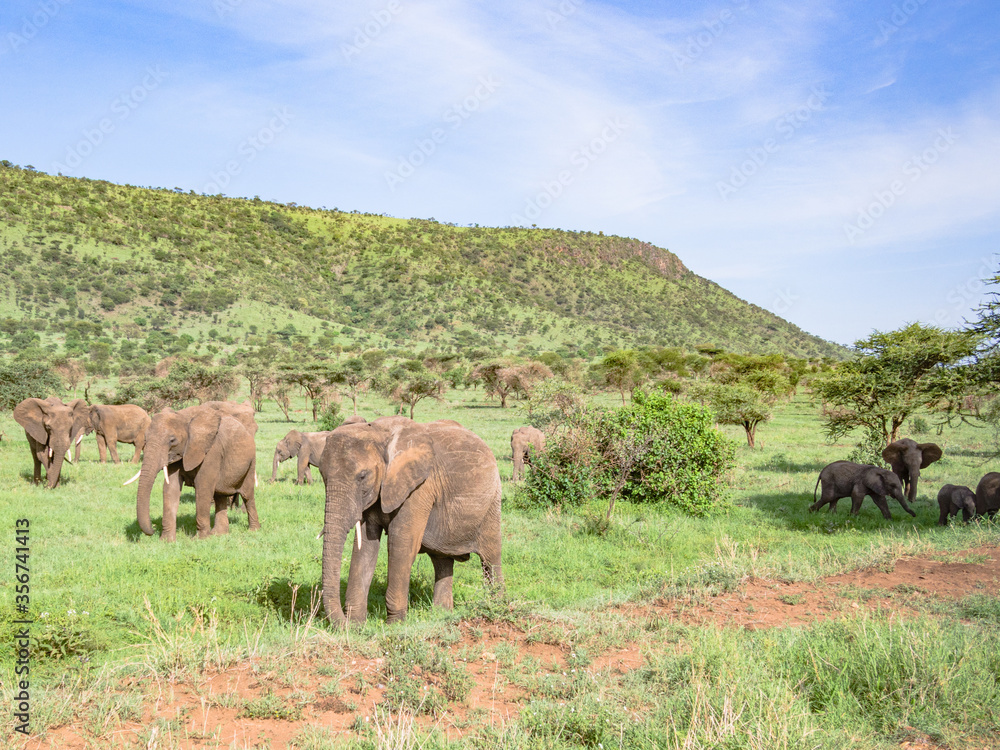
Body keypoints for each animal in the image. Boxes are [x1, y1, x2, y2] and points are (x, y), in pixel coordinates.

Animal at [130, 401, 259, 541]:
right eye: (146, 438)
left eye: (172, 440)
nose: (152, 529)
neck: (184, 417)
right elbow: (171, 488)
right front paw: (166, 541)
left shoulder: (212, 451)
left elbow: (203, 486)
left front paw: (200, 540)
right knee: (219, 495)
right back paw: (219, 534)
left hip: (251, 462)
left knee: (247, 495)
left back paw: (253, 530)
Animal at [319, 417, 503, 625]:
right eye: (323, 475)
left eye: (362, 476)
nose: (345, 624)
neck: (380, 433)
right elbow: (365, 546)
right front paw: (357, 625)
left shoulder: (420, 488)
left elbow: (400, 544)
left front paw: (394, 625)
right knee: (442, 560)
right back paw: (441, 613)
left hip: (492, 502)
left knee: (491, 558)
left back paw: (497, 606)